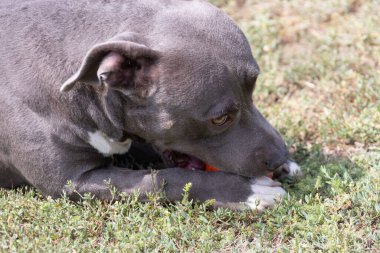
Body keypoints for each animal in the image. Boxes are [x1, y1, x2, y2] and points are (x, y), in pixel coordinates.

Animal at [0, 0, 300, 210]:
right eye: (220, 119)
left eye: (253, 90)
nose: (280, 155)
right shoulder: (71, 180)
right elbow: (161, 179)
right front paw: (245, 192)